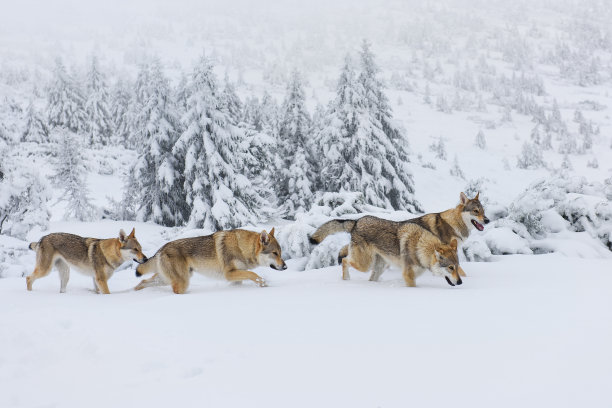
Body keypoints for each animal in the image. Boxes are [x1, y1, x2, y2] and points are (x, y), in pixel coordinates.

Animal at [134, 226, 286, 294]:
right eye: (274, 253)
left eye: (280, 253)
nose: (285, 267)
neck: (242, 247)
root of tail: (160, 249)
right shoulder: (229, 274)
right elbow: (253, 274)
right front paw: (264, 283)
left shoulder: (236, 277)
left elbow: (247, 276)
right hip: (182, 281)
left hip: (165, 279)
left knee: (143, 281)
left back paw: (134, 291)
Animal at [310, 215, 460, 286]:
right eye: (450, 268)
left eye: (457, 267)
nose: (460, 282)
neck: (420, 247)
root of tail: (356, 221)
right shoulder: (408, 275)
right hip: (365, 265)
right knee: (345, 260)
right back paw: (346, 279)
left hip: (378, 267)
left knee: (370, 278)